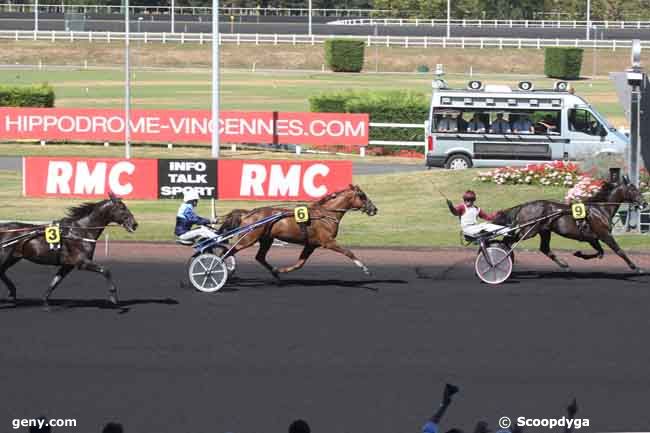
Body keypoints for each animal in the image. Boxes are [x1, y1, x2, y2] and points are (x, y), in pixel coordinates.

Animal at [0, 194, 137, 306]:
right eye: (122, 208)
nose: (135, 224)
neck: (80, 231)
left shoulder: (67, 265)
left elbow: (55, 282)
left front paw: (45, 301)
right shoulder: (82, 262)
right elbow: (106, 270)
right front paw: (113, 297)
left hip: (13, 257)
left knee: (2, 272)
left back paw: (12, 293)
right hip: (5, 256)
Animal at [220, 184, 378, 276]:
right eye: (362, 196)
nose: (374, 209)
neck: (325, 214)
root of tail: (247, 213)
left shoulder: (311, 244)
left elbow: (299, 264)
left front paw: (281, 270)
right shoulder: (328, 241)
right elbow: (348, 252)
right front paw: (364, 267)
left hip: (266, 239)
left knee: (259, 257)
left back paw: (275, 272)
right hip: (249, 239)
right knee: (228, 252)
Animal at [494, 177, 644, 272]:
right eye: (634, 190)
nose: (645, 203)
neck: (600, 208)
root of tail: (523, 206)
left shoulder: (592, 238)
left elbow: (600, 253)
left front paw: (579, 254)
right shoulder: (604, 234)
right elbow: (619, 251)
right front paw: (636, 268)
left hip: (544, 231)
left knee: (544, 249)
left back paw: (564, 265)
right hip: (529, 231)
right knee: (508, 240)